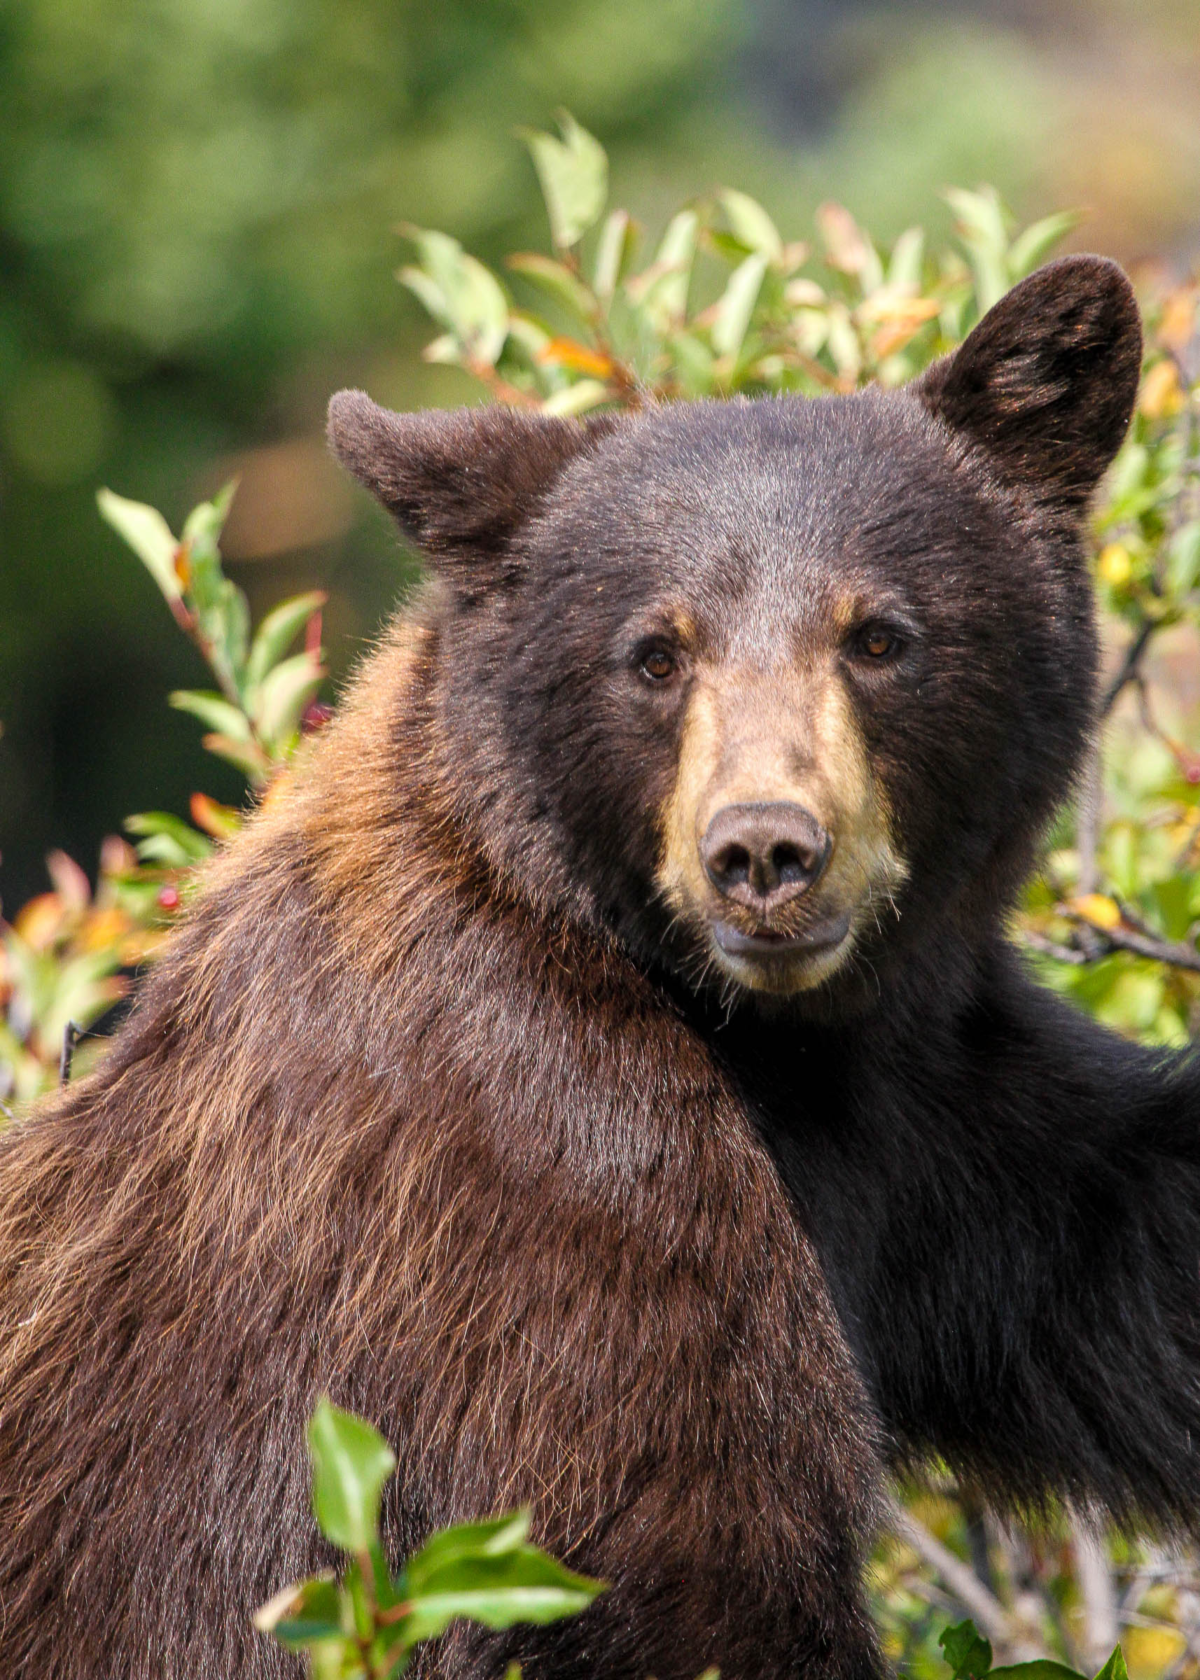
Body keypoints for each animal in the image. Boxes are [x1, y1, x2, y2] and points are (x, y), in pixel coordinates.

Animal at [1, 251, 1197, 1680]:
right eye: (656, 653)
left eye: (878, 636)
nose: (764, 852)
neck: (765, 1035)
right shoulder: (539, 1174)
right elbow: (690, 1549)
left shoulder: (952, 1126)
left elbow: (1141, 1227)